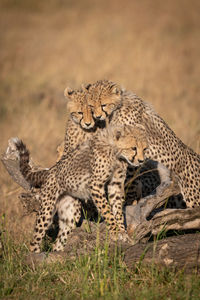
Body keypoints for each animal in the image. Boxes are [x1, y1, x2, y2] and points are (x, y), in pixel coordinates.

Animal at [13, 123, 148, 252]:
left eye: (145, 148)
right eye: (133, 148)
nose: (141, 161)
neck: (115, 152)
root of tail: (51, 170)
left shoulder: (115, 184)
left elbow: (117, 210)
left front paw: (123, 234)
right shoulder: (95, 185)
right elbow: (107, 211)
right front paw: (115, 233)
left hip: (71, 212)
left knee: (59, 240)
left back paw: (58, 254)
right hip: (47, 210)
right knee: (35, 239)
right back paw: (35, 255)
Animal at [85, 78, 199, 207]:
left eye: (103, 105)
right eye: (91, 105)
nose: (97, 116)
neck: (119, 106)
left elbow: (130, 179)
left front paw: (128, 200)